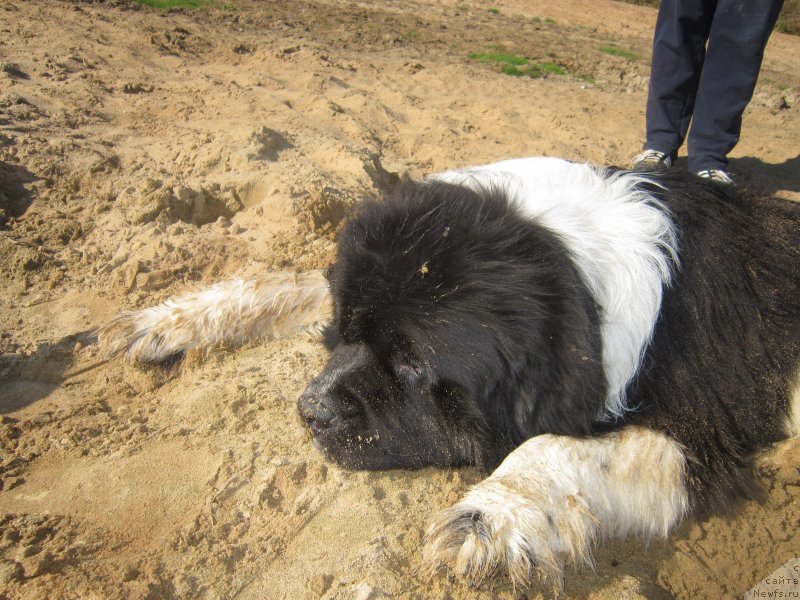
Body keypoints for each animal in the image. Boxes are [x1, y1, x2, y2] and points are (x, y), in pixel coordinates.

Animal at [100, 157, 800, 588]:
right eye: (348, 330)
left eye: (416, 362)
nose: (310, 410)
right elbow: (282, 282)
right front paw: (170, 318)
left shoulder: (705, 428)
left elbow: (552, 447)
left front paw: (487, 516)